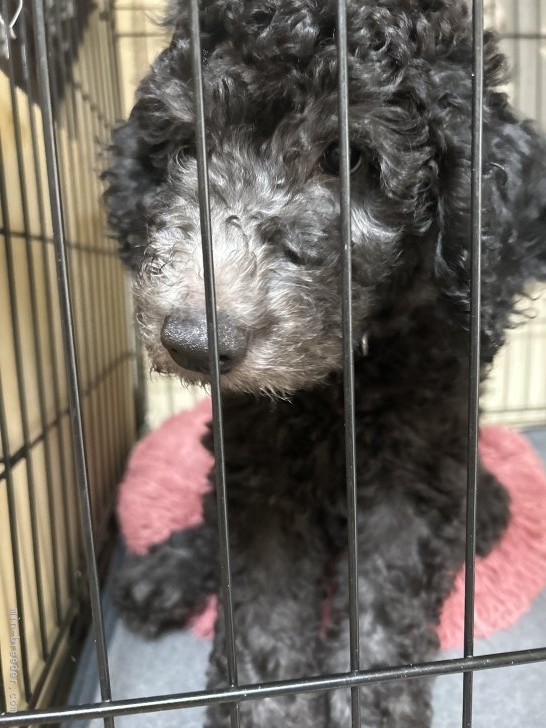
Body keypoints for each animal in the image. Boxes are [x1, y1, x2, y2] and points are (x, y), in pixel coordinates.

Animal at [104, 1, 546, 726]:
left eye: (347, 158)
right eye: (184, 150)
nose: (192, 341)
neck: (337, 381)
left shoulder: (411, 476)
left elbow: (384, 600)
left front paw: (370, 704)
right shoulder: (259, 466)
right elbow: (261, 600)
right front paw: (267, 708)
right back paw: (167, 571)